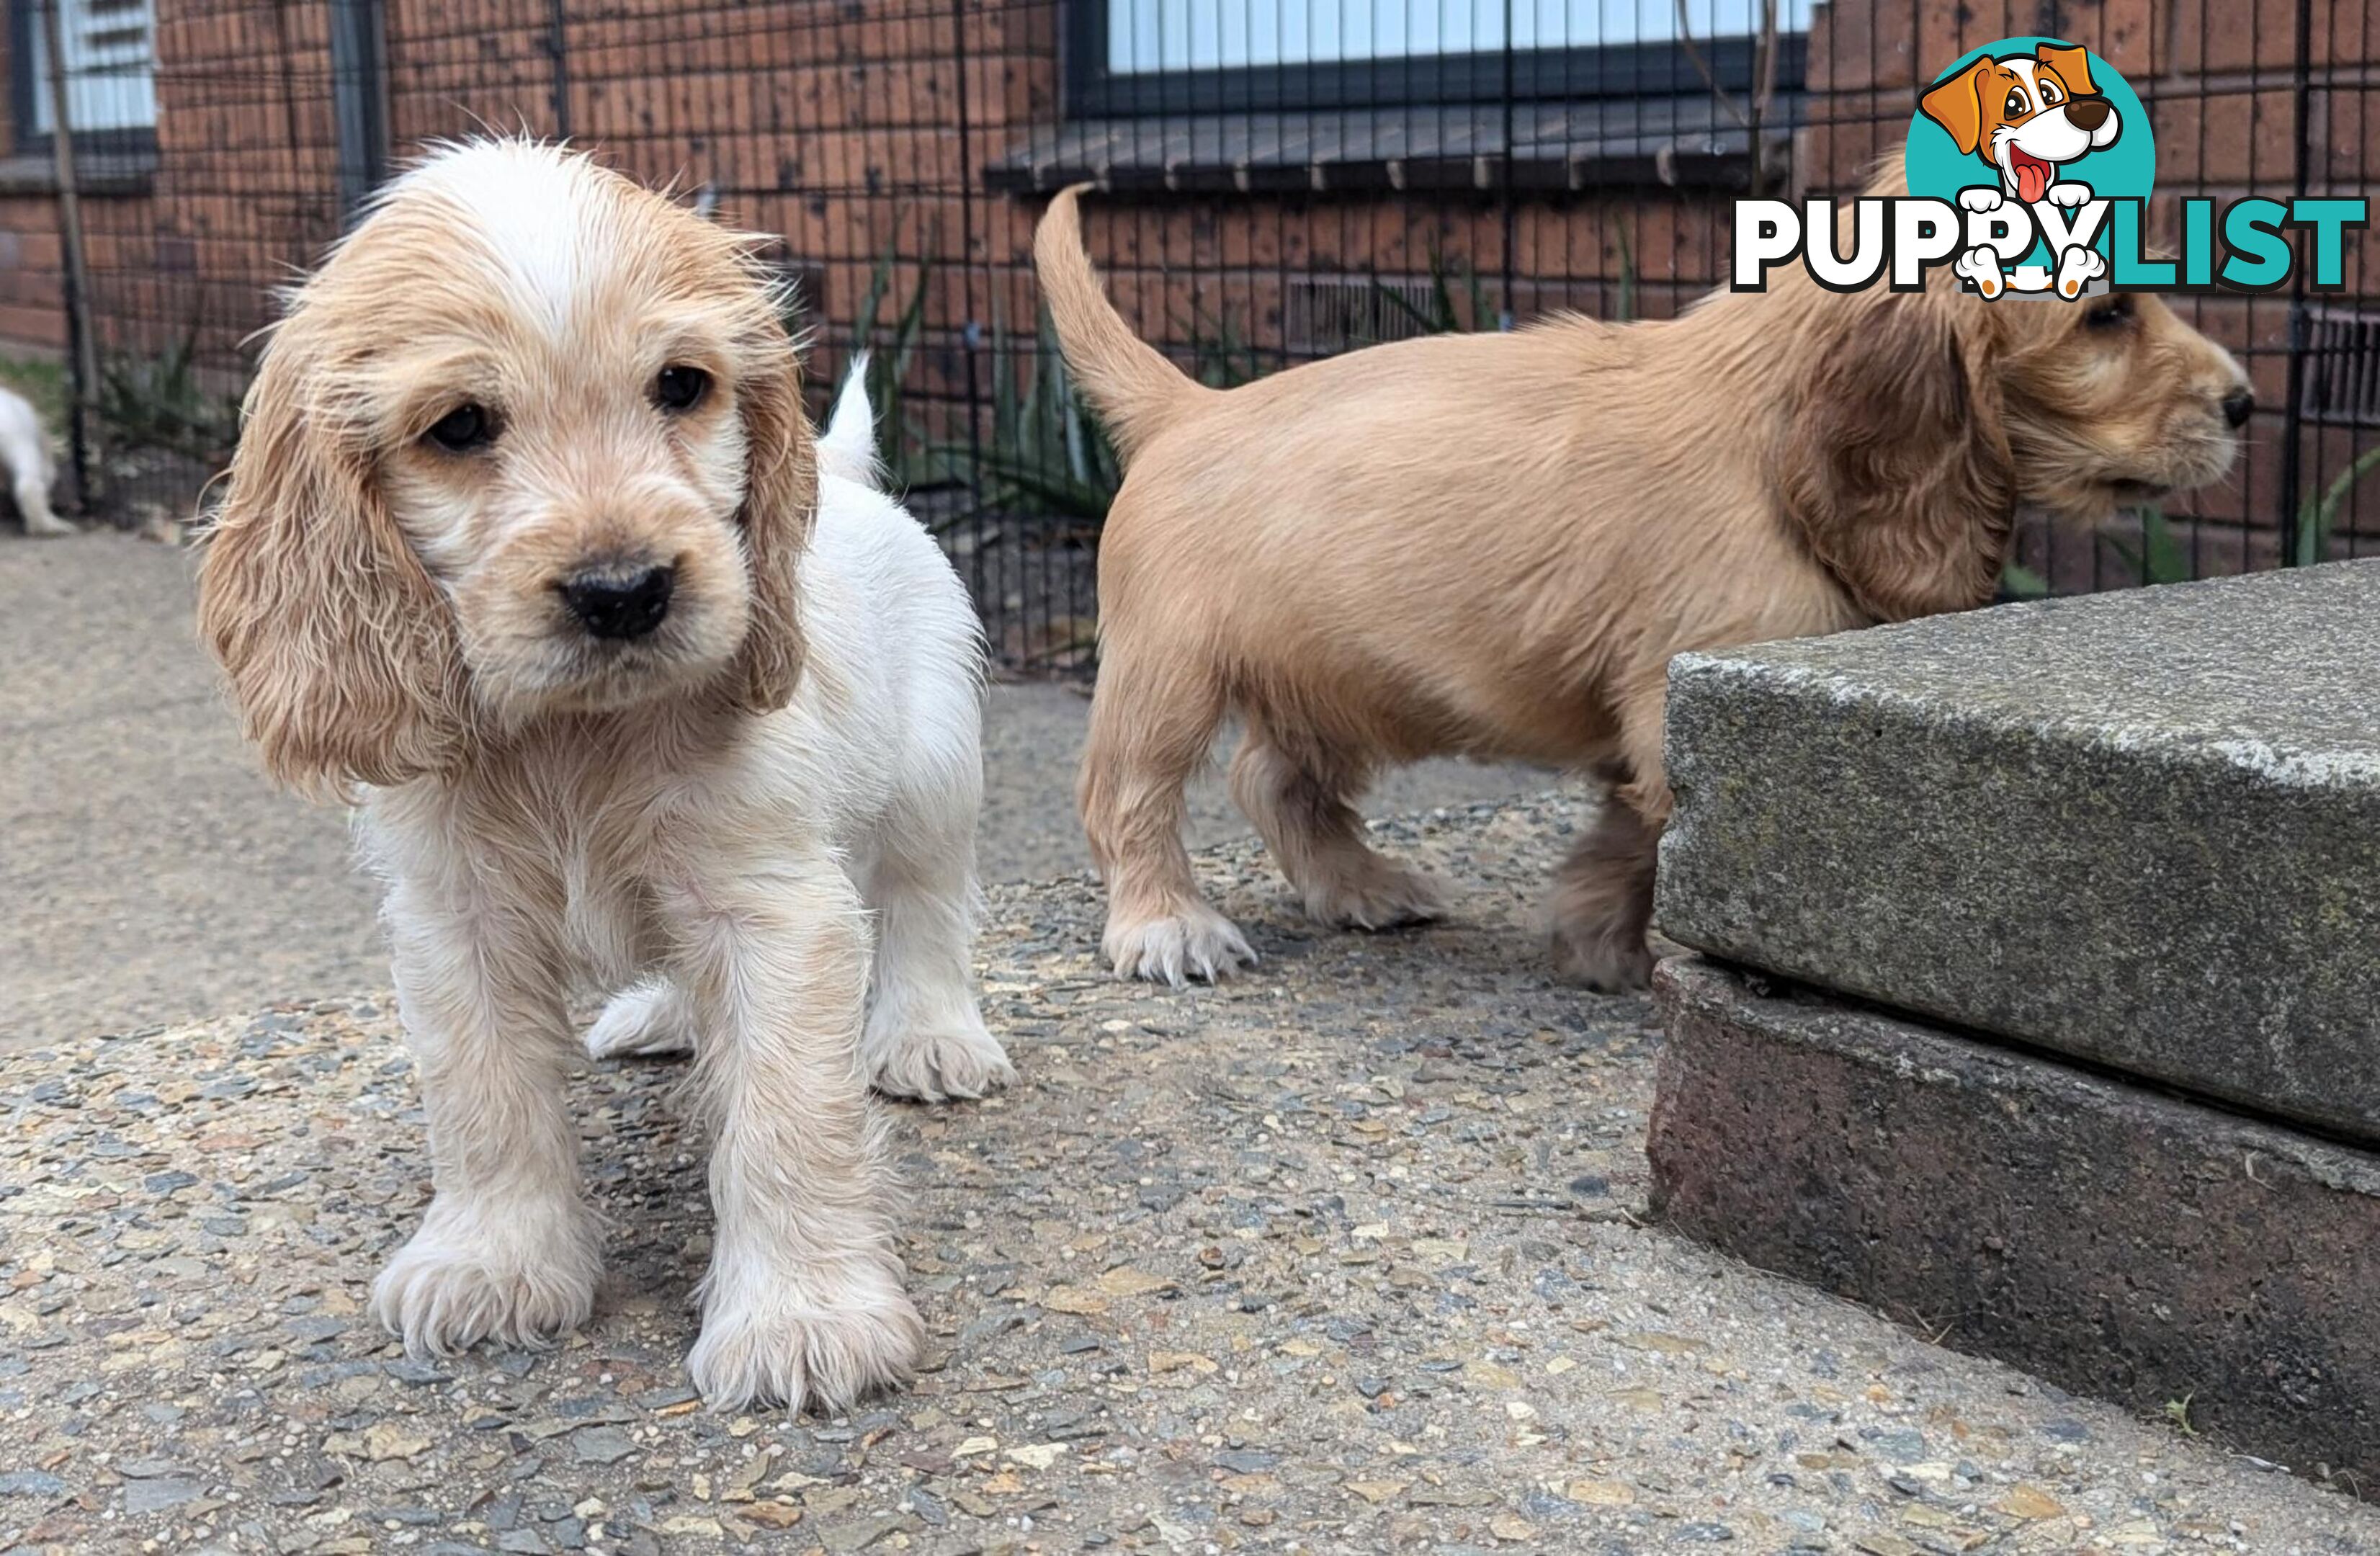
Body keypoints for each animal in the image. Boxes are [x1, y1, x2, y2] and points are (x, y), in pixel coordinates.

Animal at [202, 140, 1014, 1418]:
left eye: (681, 386)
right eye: (459, 425)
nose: (626, 591)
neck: (573, 739)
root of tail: (850, 480)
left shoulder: (774, 908)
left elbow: (786, 1116)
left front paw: (801, 1316)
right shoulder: (457, 917)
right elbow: (482, 1100)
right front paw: (493, 1261)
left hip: (935, 772)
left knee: (928, 906)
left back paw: (931, 1039)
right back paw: (663, 1013)